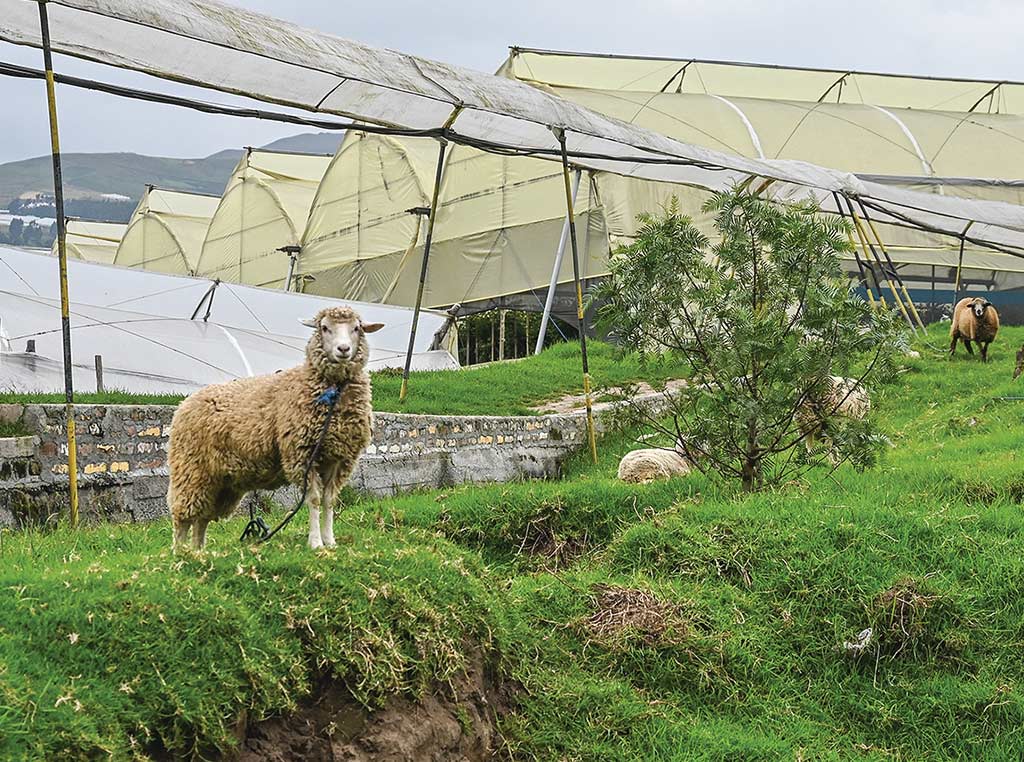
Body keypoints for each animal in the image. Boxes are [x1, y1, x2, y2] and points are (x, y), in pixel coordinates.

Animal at [167, 303, 385, 548]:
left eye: (356, 328)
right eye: (324, 327)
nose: (344, 349)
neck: (333, 392)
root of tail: (185, 403)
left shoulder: (339, 459)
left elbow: (329, 501)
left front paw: (330, 542)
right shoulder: (301, 455)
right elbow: (314, 500)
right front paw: (315, 543)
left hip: (220, 481)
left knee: (202, 518)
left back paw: (198, 550)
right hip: (190, 469)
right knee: (183, 517)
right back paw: (180, 552)